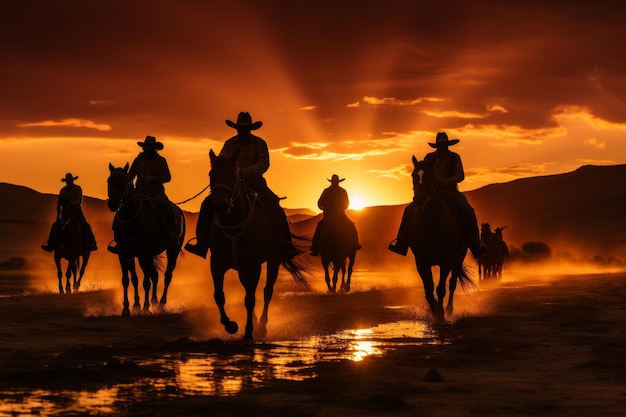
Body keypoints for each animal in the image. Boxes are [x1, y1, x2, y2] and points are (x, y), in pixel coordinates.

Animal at [106, 162, 184, 316]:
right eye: (109, 181)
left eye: (125, 181)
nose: (113, 203)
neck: (131, 219)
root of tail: (178, 211)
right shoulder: (125, 253)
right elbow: (128, 279)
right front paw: (129, 308)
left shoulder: (145, 253)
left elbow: (145, 281)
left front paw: (145, 308)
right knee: (155, 275)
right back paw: (154, 301)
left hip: (173, 250)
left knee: (166, 276)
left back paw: (161, 303)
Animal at [204, 148, 308, 340]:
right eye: (211, 174)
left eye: (233, 174)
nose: (220, 206)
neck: (234, 223)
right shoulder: (217, 263)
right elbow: (219, 295)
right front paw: (230, 325)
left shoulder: (254, 265)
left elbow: (251, 298)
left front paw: (249, 332)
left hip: (273, 260)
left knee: (267, 291)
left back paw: (262, 326)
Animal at [404, 154, 472, 320]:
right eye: (413, 175)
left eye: (430, 175)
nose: (419, 199)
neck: (431, 222)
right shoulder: (421, 261)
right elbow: (428, 289)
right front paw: (434, 311)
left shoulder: (446, 260)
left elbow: (441, 288)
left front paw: (440, 313)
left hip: (459, 257)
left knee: (452, 283)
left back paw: (449, 309)